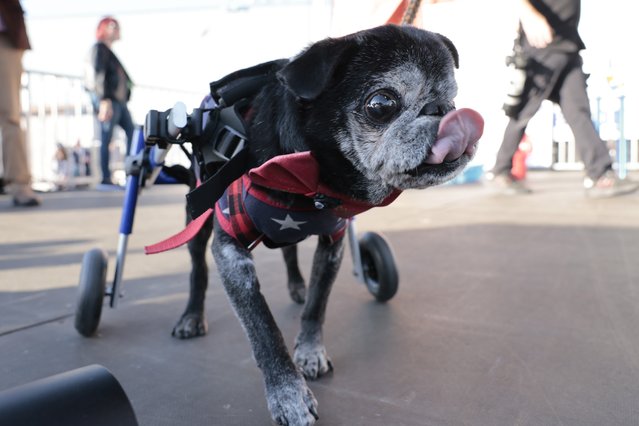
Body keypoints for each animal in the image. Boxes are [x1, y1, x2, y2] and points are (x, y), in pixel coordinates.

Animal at [171, 25, 484, 424]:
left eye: (452, 98)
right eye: (381, 104)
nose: (442, 111)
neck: (303, 174)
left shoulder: (332, 243)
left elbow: (317, 305)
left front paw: (310, 352)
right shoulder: (231, 252)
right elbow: (263, 331)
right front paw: (288, 395)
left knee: (289, 254)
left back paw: (296, 286)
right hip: (198, 223)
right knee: (198, 269)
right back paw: (191, 317)